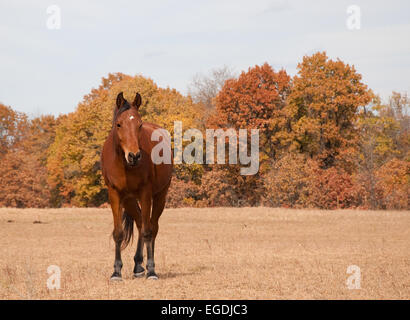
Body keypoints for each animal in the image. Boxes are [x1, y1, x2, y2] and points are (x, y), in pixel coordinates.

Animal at [103, 90, 174, 280]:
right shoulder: (115, 195)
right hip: (129, 200)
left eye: (139, 125)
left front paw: (151, 271)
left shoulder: (145, 193)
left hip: (159, 196)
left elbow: (148, 232)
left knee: (152, 227)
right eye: (119, 124)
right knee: (141, 223)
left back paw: (148, 265)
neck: (124, 164)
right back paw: (137, 265)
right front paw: (116, 272)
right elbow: (118, 233)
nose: (134, 156)